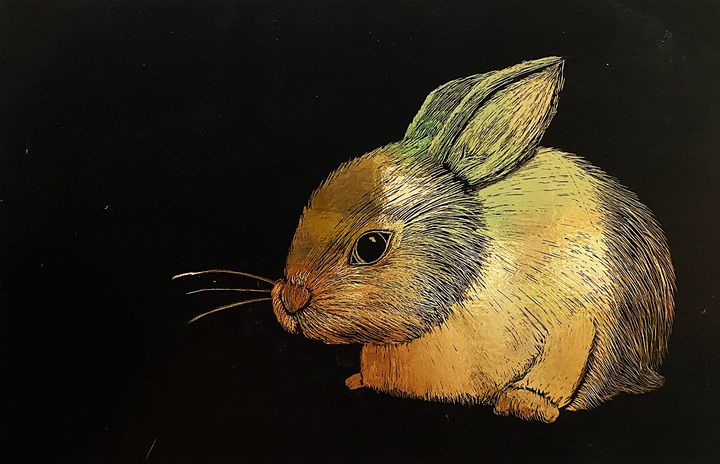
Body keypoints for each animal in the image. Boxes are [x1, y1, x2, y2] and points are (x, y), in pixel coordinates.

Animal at [178, 56, 675, 423]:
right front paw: (358, 382)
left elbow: (558, 368)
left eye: (371, 247)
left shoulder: (577, 321)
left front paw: (525, 406)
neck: (469, 274)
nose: (290, 299)